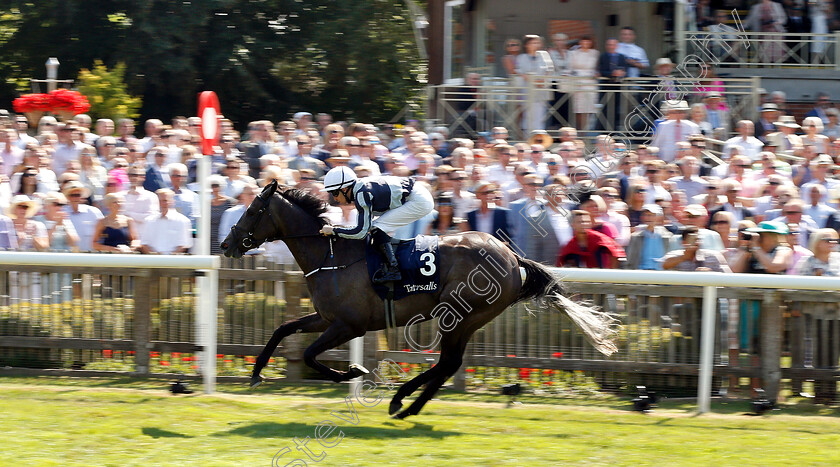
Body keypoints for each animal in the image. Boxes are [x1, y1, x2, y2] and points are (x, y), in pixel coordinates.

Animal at [223, 181, 616, 418]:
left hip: (459, 315)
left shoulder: (349, 325)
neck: (332, 255)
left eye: (253, 211)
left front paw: (353, 371)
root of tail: (510, 256)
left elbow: (307, 354)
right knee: (449, 364)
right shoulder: (326, 318)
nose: (226, 244)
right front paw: (256, 373)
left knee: (448, 363)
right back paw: (407, 405)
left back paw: (402, 401)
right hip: (466, 320)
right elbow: (283, 329)